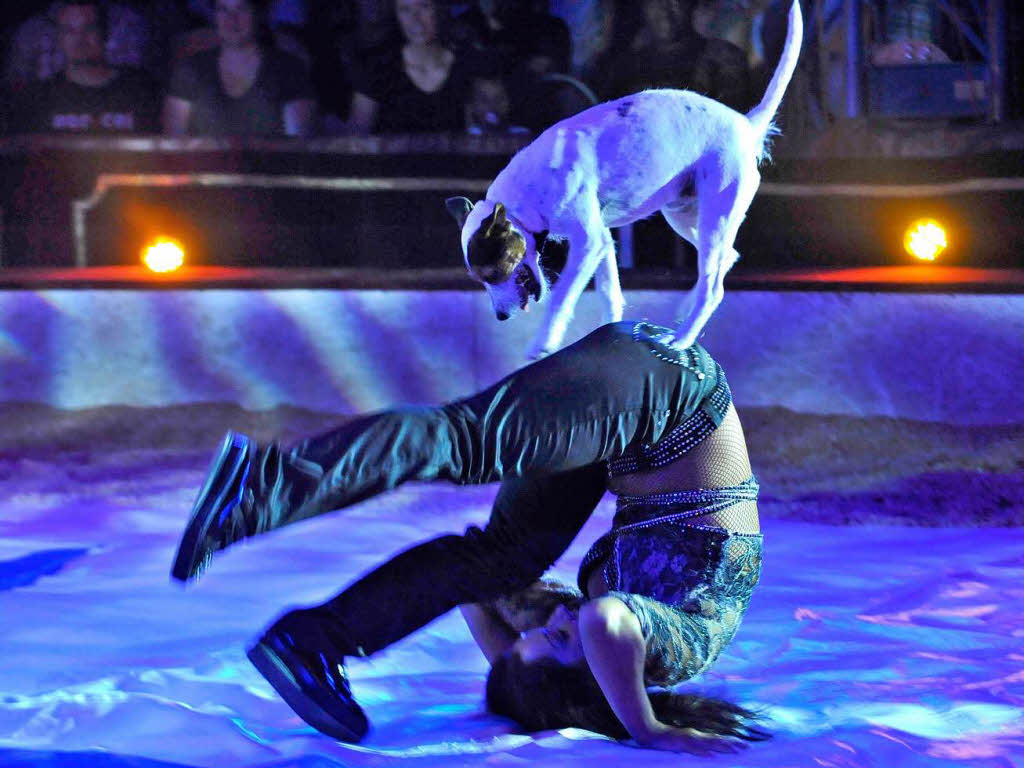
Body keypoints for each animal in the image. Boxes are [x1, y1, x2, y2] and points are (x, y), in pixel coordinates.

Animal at [448, 0, 798, 360]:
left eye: (493, 272)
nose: (501, 316)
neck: (523, 202)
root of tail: (747, 125)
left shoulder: (588, 242)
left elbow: (560, 299)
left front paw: (543, 342)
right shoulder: (602, 239)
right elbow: (609, 291)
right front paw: (609, 330)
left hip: (716, 215)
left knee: (713, 287)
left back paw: (682, 338)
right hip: (684, 215)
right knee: (726, 259)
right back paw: (686, 310)